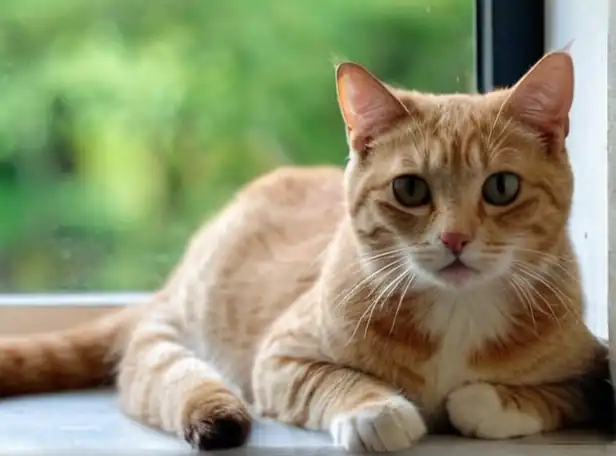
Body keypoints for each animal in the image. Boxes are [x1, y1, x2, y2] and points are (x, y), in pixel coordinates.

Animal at [0, 49, 612, 452]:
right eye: (410, 190)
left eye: (501, 187)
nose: (455, 239)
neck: (458, 314)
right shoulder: (280, 357)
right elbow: (327, 379)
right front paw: (375, 409)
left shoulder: (590, 364)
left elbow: (554, 395)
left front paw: (487, 401)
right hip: (178, 343)